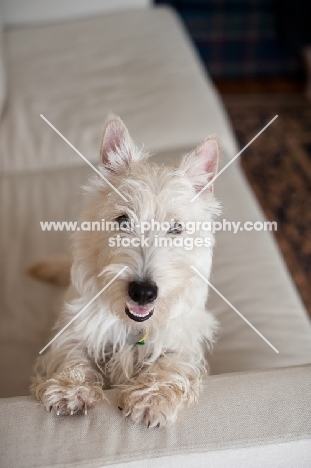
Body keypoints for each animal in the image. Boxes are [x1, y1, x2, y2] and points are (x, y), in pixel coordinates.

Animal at [29, 114, 219, 428]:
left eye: (176, 228)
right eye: (123, 220)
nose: (143, 292)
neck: (133, 326)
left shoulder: (183, 339)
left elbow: (169, 365)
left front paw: (150, 399)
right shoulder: (77, 325)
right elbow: (71, 354)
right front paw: (70, 389)